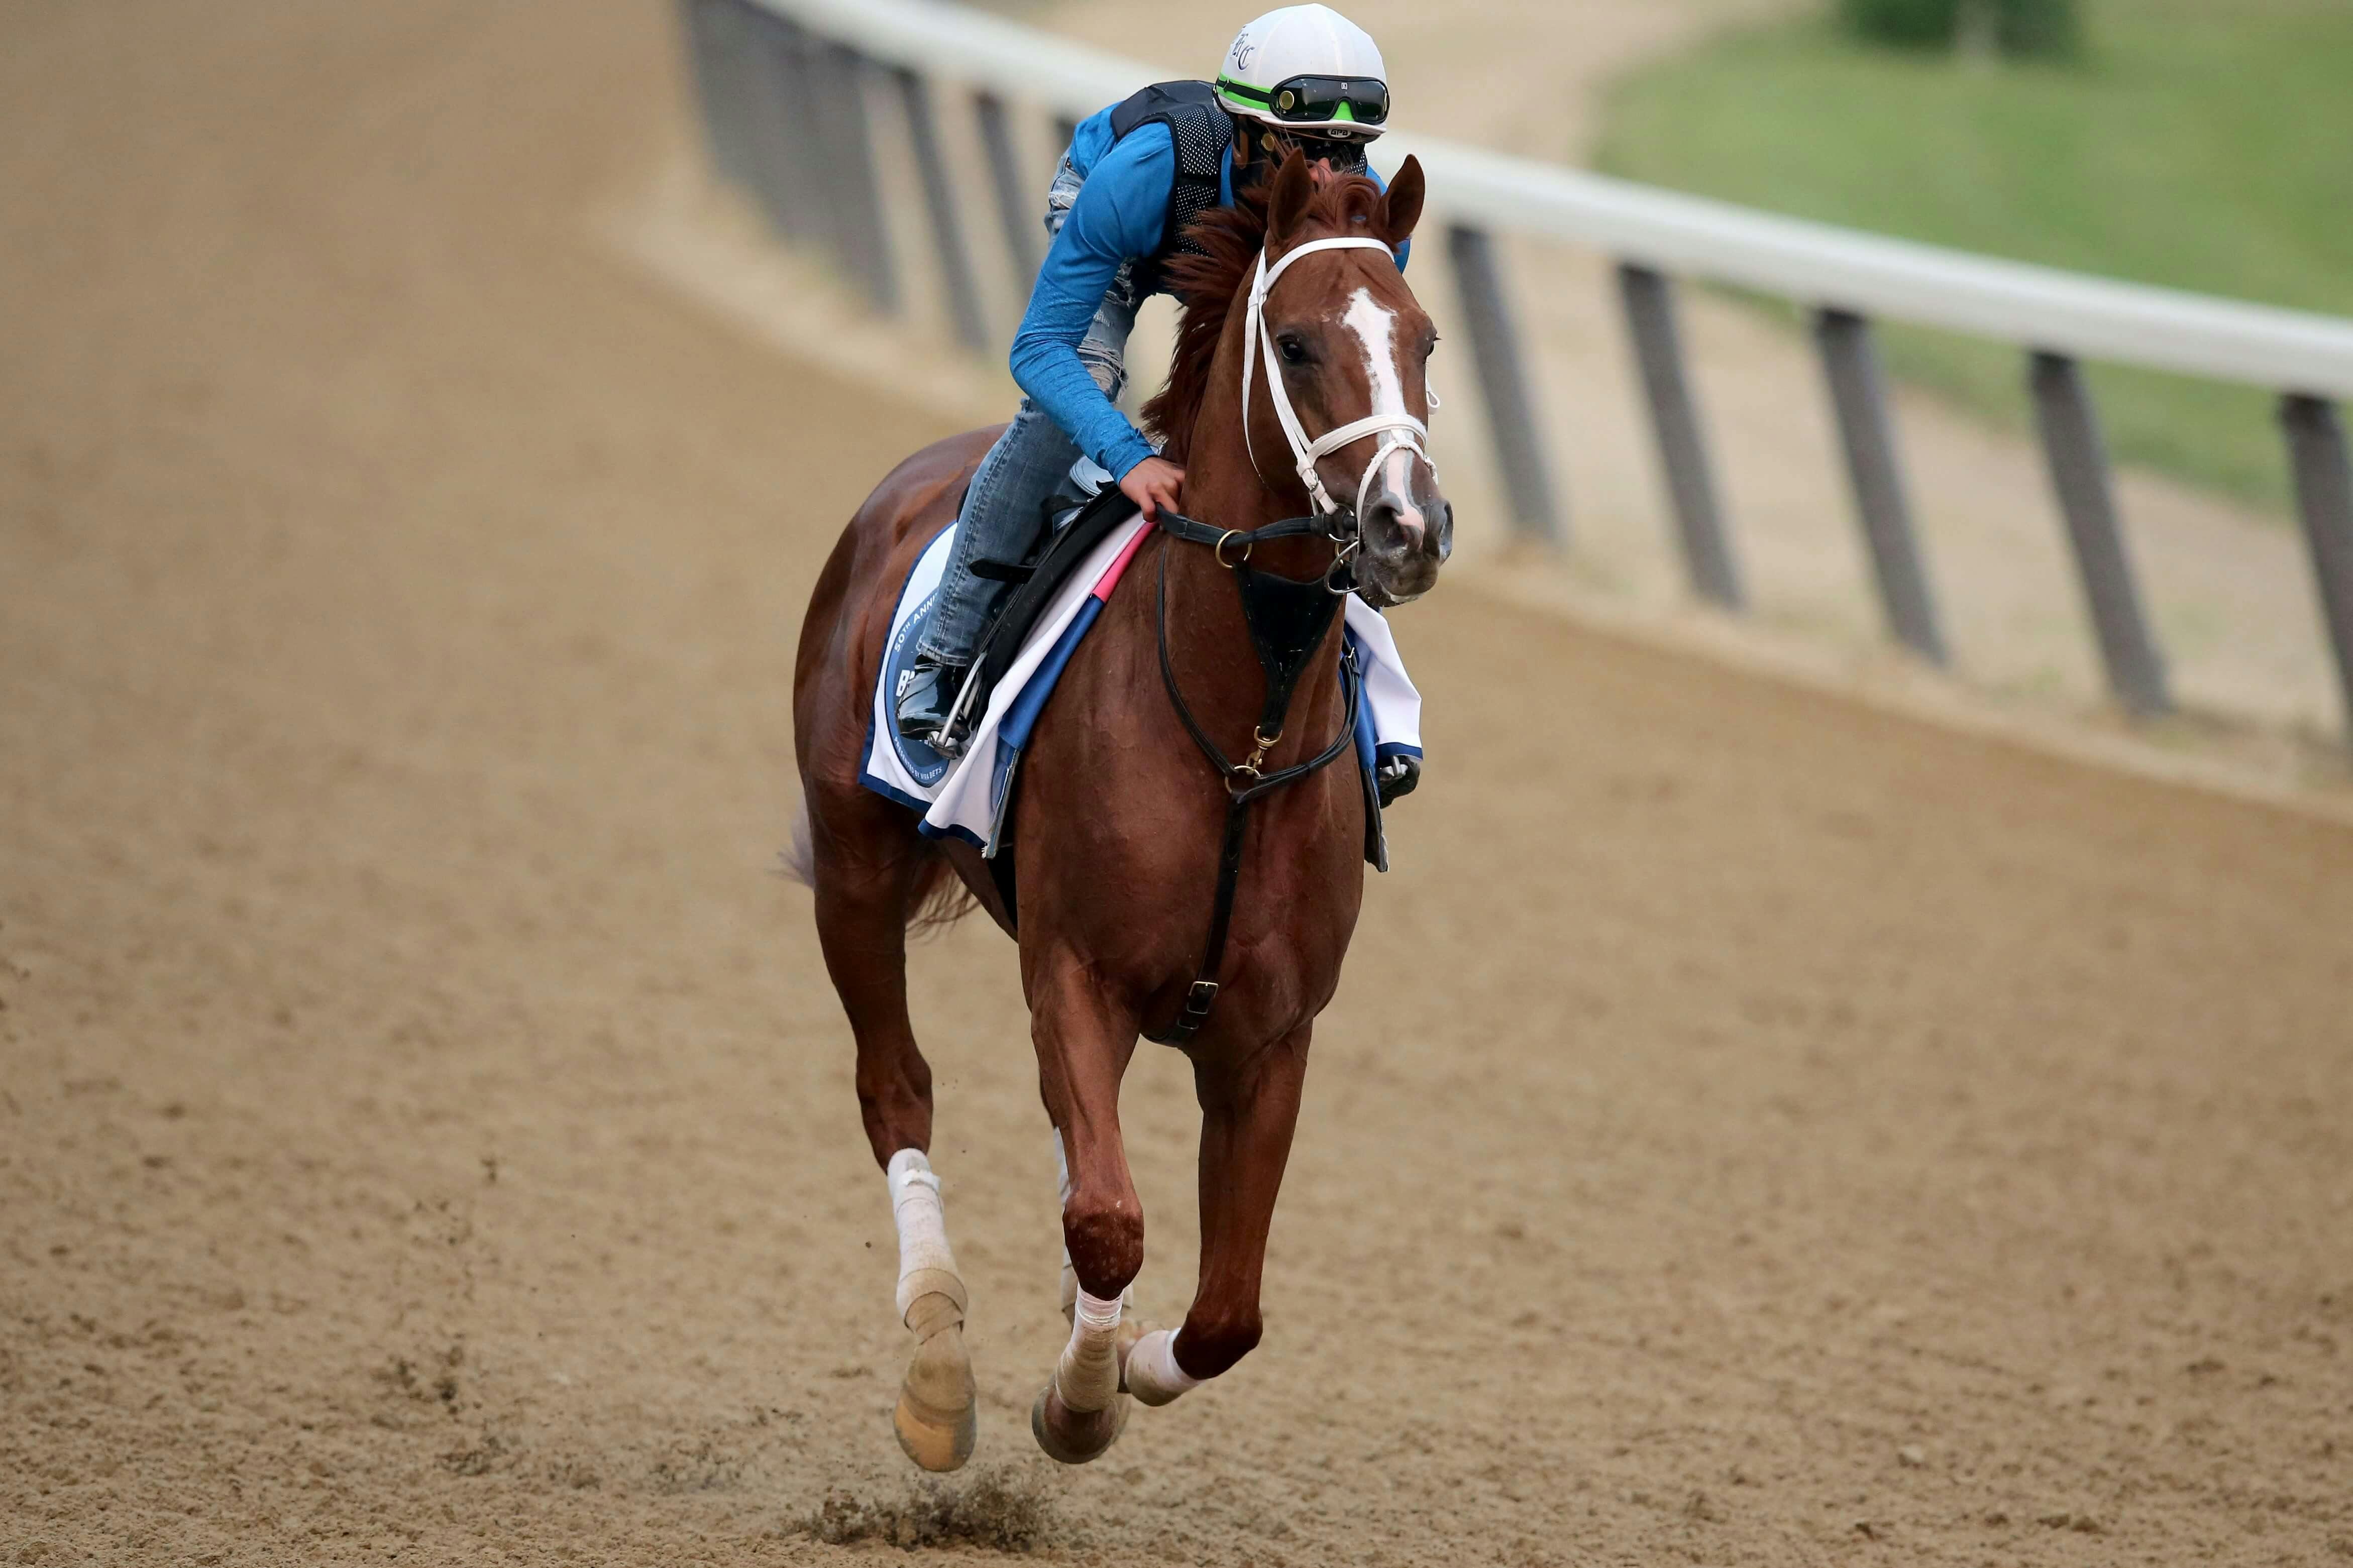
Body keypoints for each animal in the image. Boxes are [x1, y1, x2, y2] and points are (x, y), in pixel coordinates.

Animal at [800, 147, 1440, 1476]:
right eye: (1296, 343)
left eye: (1426, 340)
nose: (1409, 525)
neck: (1239, 736)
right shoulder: (1074, 971)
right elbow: (1108, 1221)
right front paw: (1074, 1402)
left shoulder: (1269, 1035)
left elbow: (1227, 1312)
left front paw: (1123, 1369)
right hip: (851, 868)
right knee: (896, 1088)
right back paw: (936, 1367)